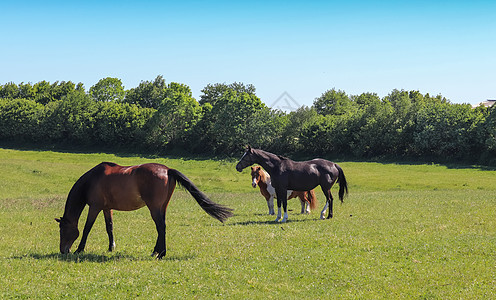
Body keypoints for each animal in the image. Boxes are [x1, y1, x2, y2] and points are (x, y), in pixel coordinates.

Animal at [55, 162, 233, 258]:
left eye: (62, 230)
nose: (63, 250)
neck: (92, 180)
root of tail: (167, 170)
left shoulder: (95, 207)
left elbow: (87, 228)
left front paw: (79, 249)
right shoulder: (107, 208)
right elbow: (109, 227)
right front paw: (111, 247)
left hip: (154, 207)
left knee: (160, 227)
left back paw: (161, 253)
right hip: (162, 207)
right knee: (162, 227)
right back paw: (156, 252)